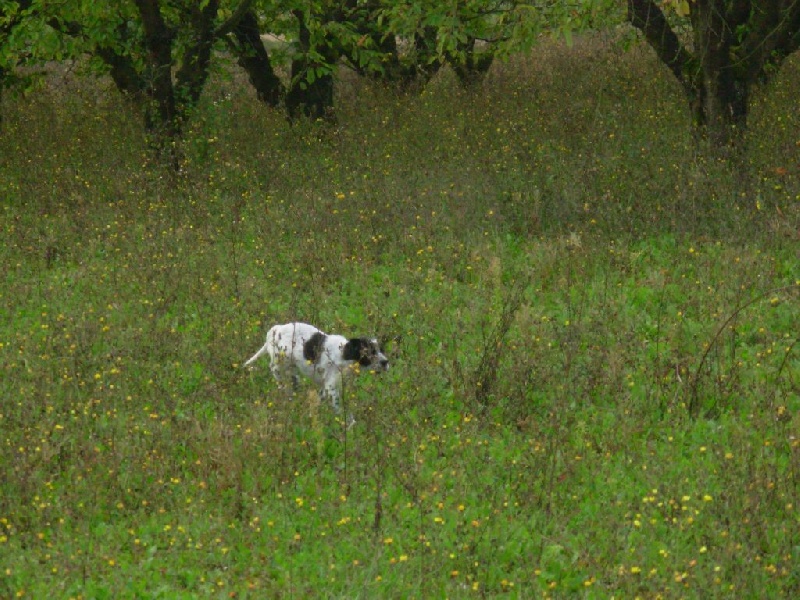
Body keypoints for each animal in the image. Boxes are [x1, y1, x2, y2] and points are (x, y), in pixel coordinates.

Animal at [247, 322, 390, 414]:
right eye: (370, 352)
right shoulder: (331, 387)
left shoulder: (326, 386)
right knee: (275, 369)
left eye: (380, 350)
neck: (345, 355)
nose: (386, 362)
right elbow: (341, 412)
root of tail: (275, 330)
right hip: (281, 361)